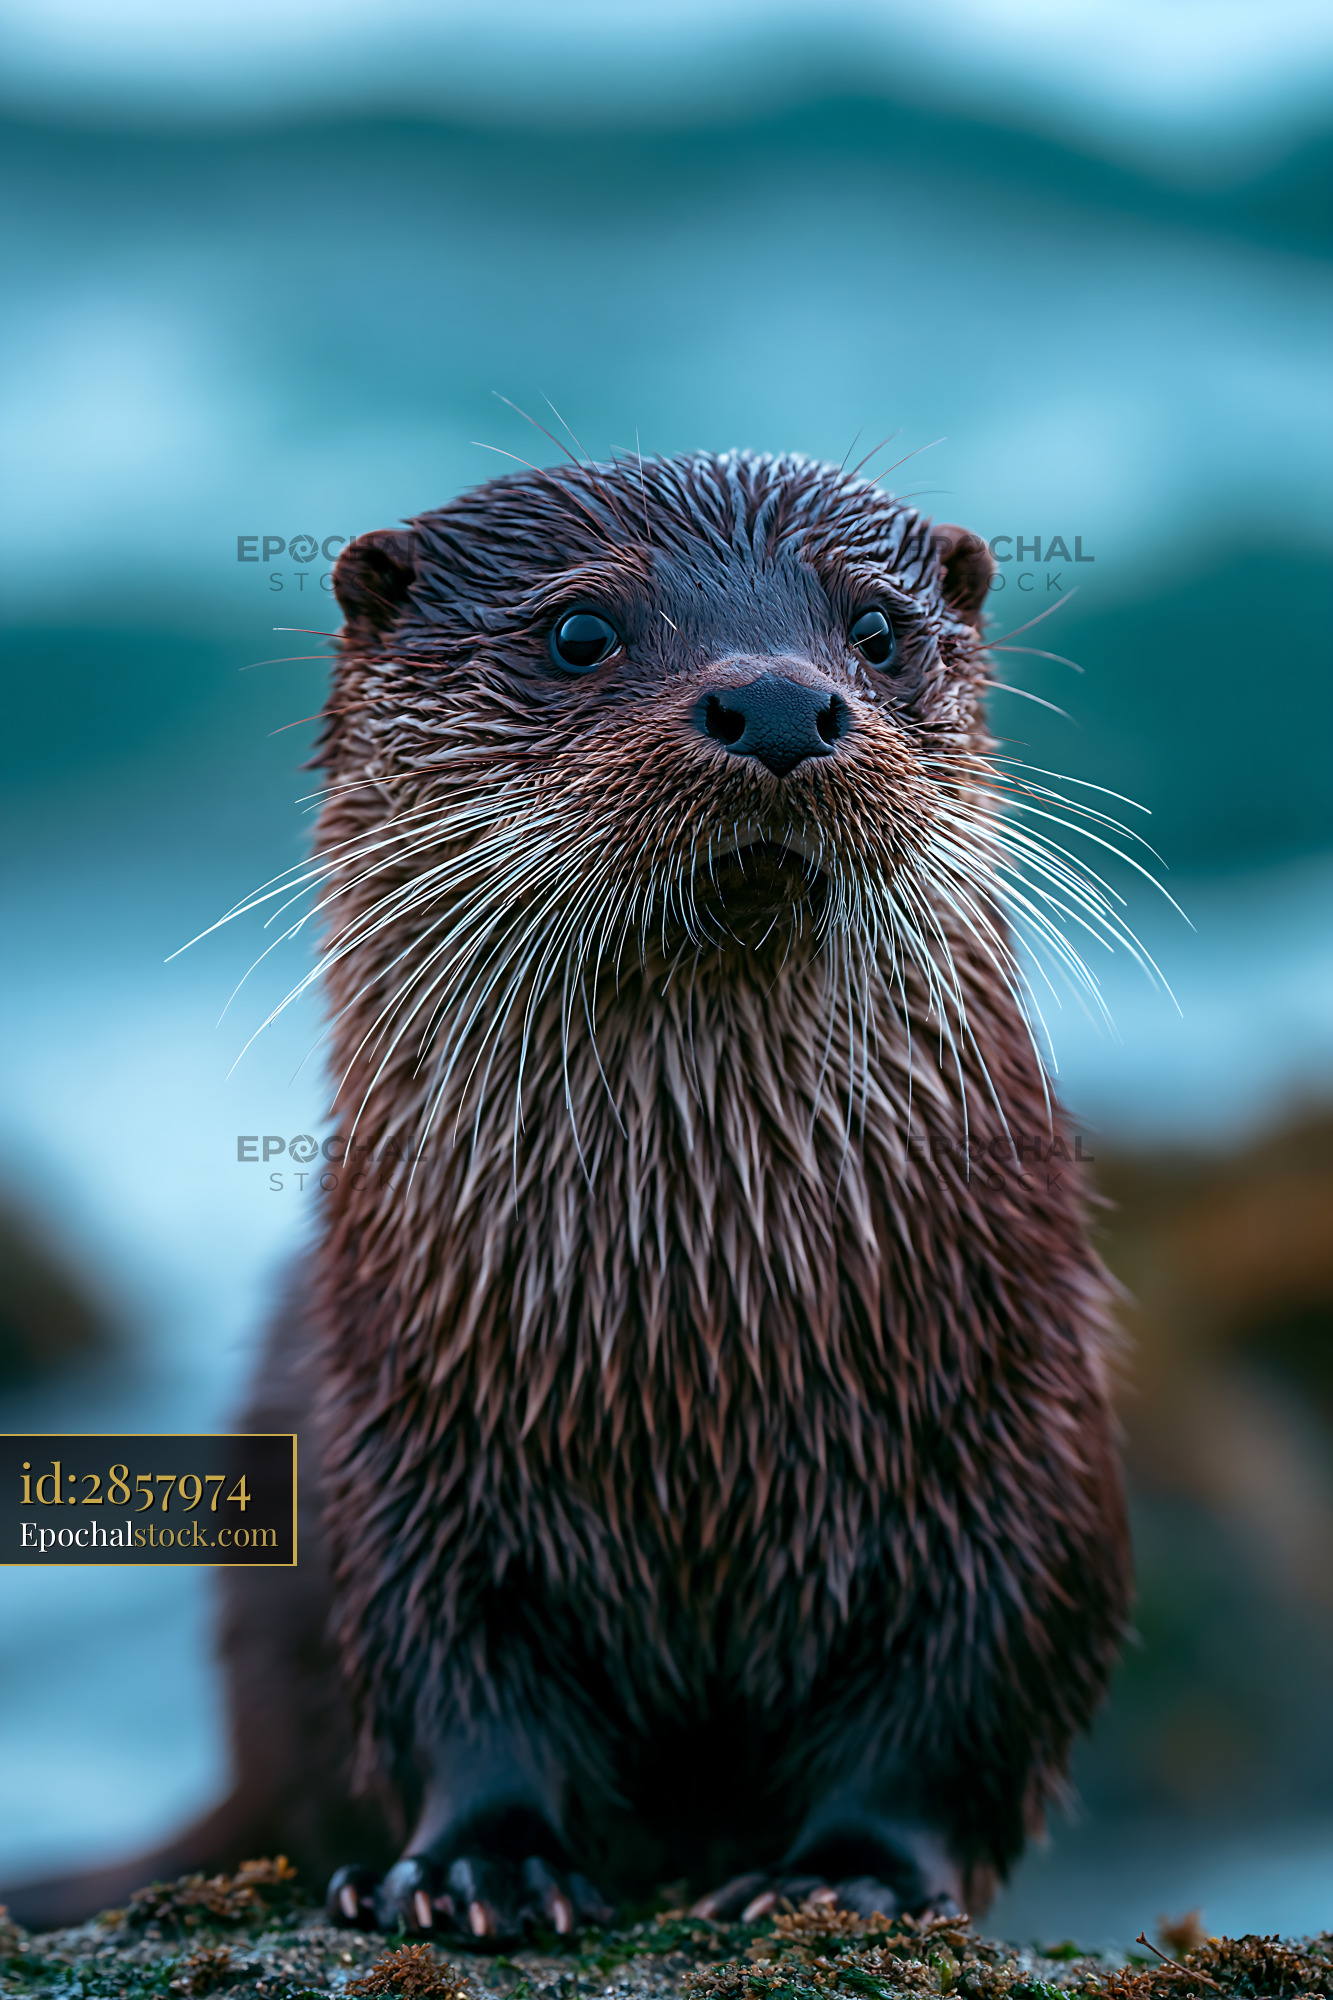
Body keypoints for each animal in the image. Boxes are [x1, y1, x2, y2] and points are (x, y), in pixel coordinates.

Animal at [6, 451, 1130, 1938]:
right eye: (581, 630)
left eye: (877, 629)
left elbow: (956, 1701)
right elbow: (456, 1675)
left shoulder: (1017, 1443)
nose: (780, 700)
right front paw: (479, 1866)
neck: (703, 1363)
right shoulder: (408, 1444)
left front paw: (848, 1877)